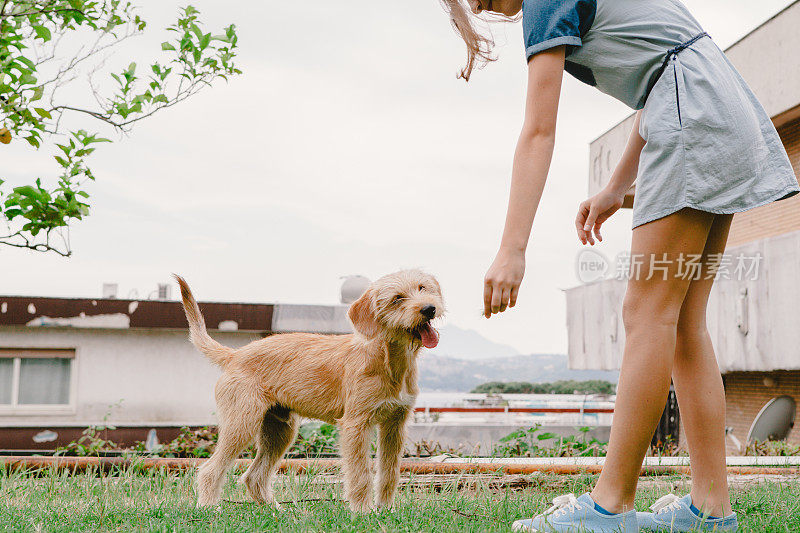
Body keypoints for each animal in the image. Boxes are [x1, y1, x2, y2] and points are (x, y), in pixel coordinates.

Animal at [174, 270, 444, 512]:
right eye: (397, 298)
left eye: (422, 288)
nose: (429, 308)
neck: (387, 359)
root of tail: (235, 355)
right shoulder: (356, 425)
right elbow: (360, 473)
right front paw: (363, 511)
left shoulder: (394, 424)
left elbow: (389, 472)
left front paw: (386, 509)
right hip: (242, 424)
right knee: (209, 468)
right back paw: (209, 507)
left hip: (279, 431)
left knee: (254, 475)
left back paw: (276, 509)